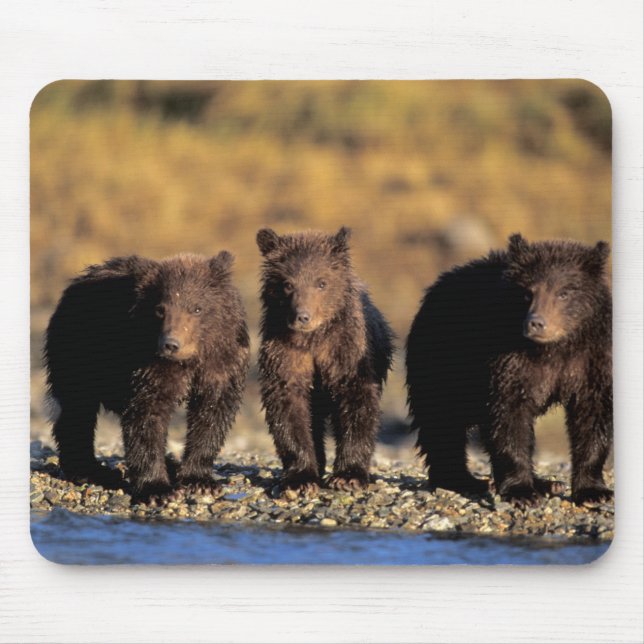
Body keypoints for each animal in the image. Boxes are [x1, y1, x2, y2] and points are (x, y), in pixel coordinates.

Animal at [44, 252, 250, 502]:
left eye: (197, 308)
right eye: (160, 309)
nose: (171, 344)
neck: (190, 361)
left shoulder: (221, 364)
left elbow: (212, 413)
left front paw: (200, 481)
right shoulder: (149, 367)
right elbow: (147, 417)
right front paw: (157, 489)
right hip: (78, 352)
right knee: (76, 409)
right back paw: (90, 470)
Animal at [256, 227, 394, 495]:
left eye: (321, 282)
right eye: (287, 284)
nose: (302, 316)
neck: (313, 340)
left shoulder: (345, 351)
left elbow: (357, 401)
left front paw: (348, 476)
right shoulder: (285, 354)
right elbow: (288, 407)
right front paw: (301, 478)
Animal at [406, 233, 613, 505]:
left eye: (564, 292)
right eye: (527, 293)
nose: (536, 323)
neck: (554, 348)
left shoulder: (591, 360)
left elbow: (593, 415)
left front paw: (593, 491)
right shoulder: (508, 362)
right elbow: (509, 417)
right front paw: (521, 492)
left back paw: (546, 483)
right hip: (441, 361)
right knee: (442, 419)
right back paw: (464, 480)